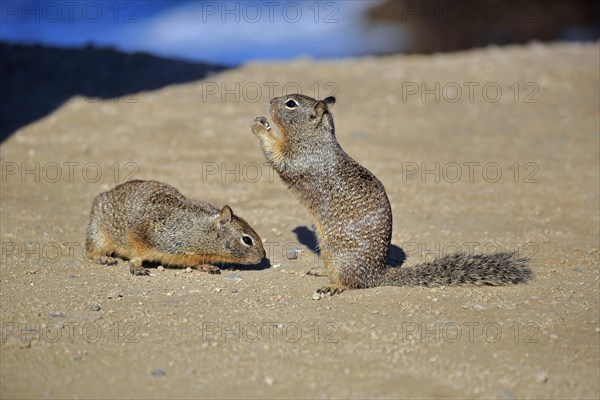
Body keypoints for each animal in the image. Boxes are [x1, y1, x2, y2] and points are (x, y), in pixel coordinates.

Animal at [84, 180, 264, 276]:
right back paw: (104, 258)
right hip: (99, 235)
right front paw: (137, 267)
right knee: (90, 252)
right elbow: (136, 255)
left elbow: (198, 263)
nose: (263, 256)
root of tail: (103, 195)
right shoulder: (141, 235)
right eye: (247, 240)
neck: (202, 231)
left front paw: (208, 266)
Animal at [251, 94, 532, 296]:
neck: (316, 137)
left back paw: (334, 285)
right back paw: (321, 271)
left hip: (338, 254)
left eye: (291, 103)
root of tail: (378, 273)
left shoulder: (300, 158)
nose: (271, 100)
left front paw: (261, 127)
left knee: (353, 282)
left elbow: (279, 157)